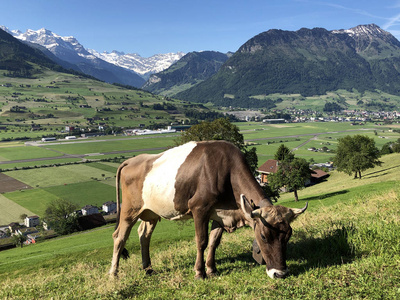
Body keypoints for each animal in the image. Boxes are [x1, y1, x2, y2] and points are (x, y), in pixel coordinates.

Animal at [111, 141, 308, 278]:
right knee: (120, 236)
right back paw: (114, 273)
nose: (280, 273)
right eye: (263, 236)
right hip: (129, 210)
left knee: (144, 235)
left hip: (150, 212)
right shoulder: (199, 208)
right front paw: (199, 272)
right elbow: (202, 241)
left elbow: (214, 242)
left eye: (288, 235)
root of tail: (132, 160)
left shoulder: (220, 213)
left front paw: (211, 269)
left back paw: (148, 268)